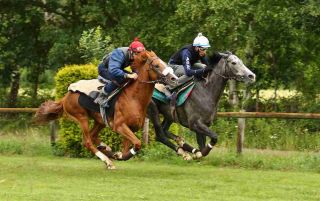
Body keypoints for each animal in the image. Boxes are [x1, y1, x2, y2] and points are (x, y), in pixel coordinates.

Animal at [35, 49, 178, 168]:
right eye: (157, 65)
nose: (174, 79)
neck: (134, 98)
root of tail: (66, 96)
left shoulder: (130, 128)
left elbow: (127, 149)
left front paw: (117, 154)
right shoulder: (120, 126)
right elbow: (137, 144)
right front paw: (117, 155)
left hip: (100, 121)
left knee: (93, 136)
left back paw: (106, 148)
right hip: (81, 117)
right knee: (87, 141)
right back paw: (108, 161)